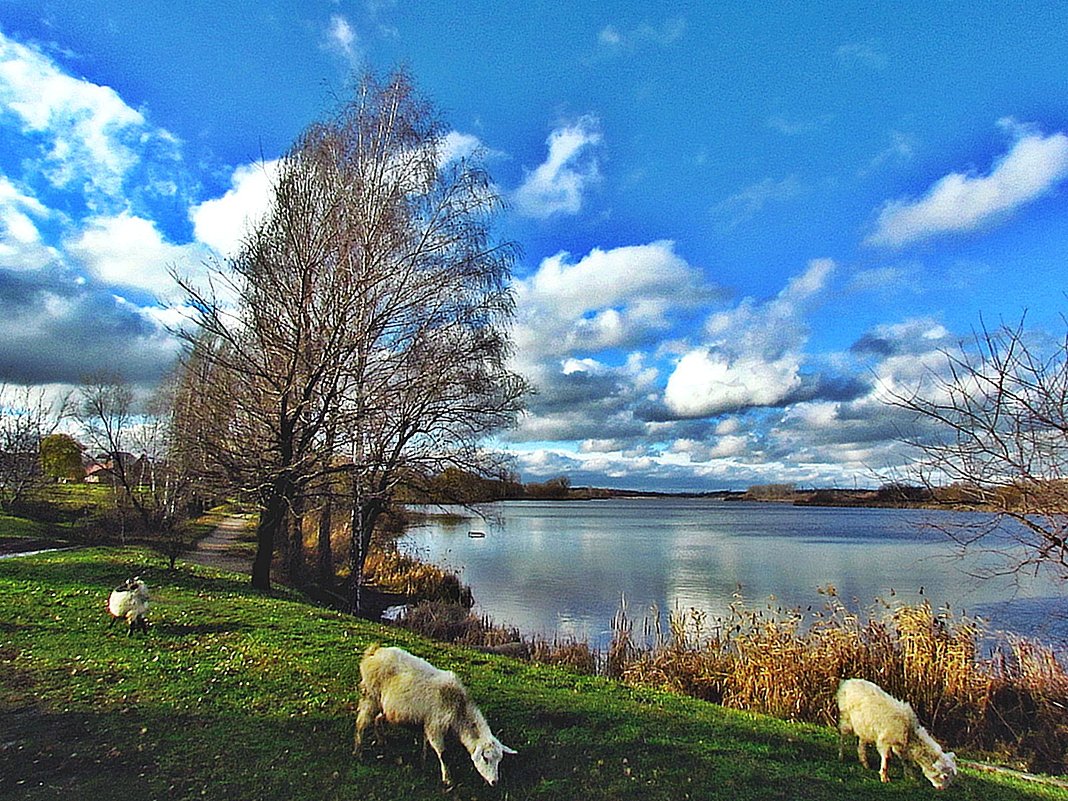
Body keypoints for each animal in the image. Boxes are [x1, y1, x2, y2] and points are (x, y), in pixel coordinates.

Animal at [352, 645, 514, 786]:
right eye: (485, 758)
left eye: (499, 761)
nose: (494, 782)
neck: (459, 709)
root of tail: (373, 652)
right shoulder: (435, 726)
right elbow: (443, 753)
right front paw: (447, 779)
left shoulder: (428, 724)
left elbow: (426, 743)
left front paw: (423, 761)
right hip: (370, 695)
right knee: (361, 723)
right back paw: (358, 752)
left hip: (385, 704)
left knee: (378, 718)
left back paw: (381, 740)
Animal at [833, 679, 961, 790]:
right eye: (945, 776)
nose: (942, 789)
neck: (909, 732)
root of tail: (847, 682)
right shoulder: (885, 741)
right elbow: (887, 758)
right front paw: (884, 777)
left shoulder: (900, 746)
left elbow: (905, 760)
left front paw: (910, 776)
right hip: (846, 718)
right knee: (842, 735)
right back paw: (841, 756)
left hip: (864, 727)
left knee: (861, 743)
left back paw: (865, 763)